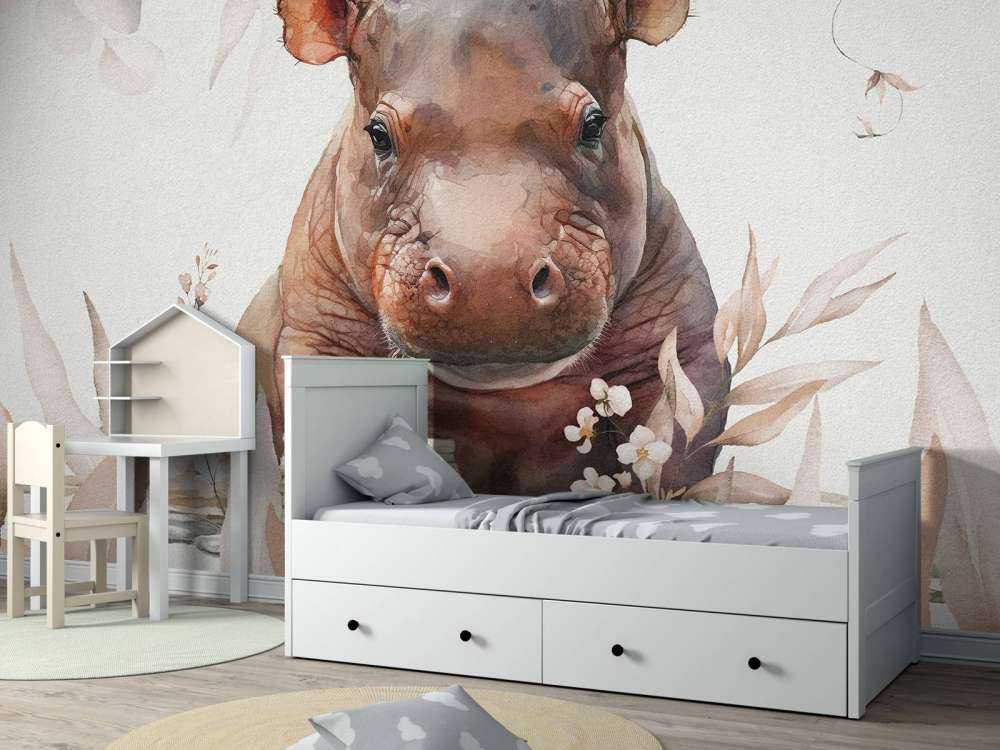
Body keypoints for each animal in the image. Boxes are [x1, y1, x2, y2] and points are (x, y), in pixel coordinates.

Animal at [238, 0, 730, 494]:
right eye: (377, 134)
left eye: (593, 125)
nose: (490, 286)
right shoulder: (317, 337)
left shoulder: (683, 346)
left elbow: (675, 455)